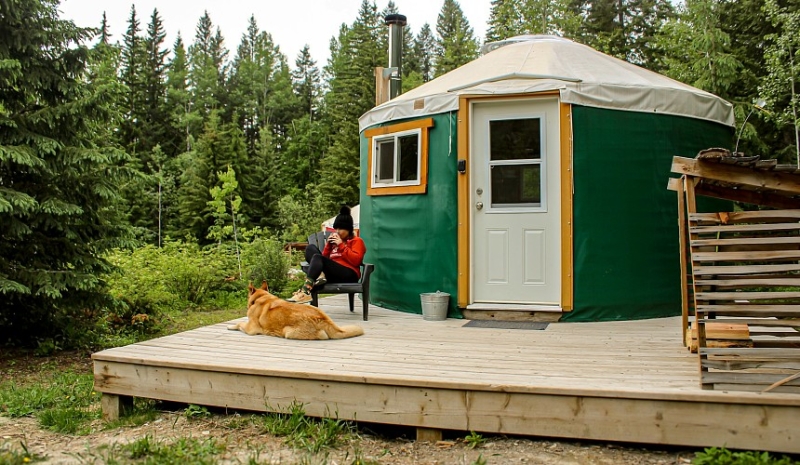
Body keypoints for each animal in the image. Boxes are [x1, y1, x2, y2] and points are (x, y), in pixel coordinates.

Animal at [225, 280, 362, 340]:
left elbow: (240, 323)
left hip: (288, 332)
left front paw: (231, 326)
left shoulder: (251, 329)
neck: (261, 297)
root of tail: (323, 319)